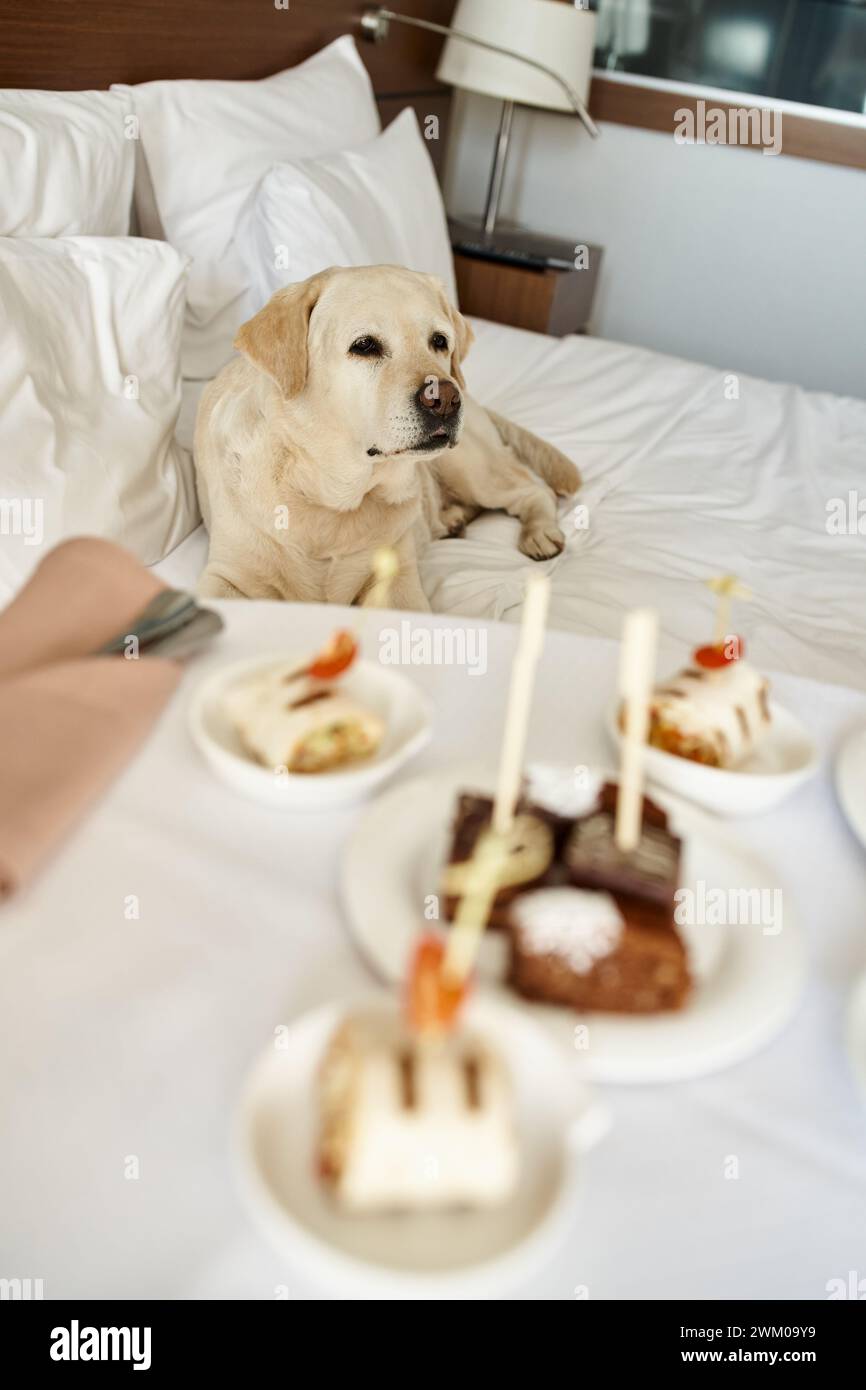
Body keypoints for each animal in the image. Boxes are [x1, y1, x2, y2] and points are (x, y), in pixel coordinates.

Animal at [195, 264, 583, 608]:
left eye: (439, 341)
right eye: (364, 345)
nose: (445, 398)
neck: (331, 502)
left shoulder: (398, 580)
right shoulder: (224, 577)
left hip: (471, 466)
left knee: (533, 489)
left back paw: (539, 531)